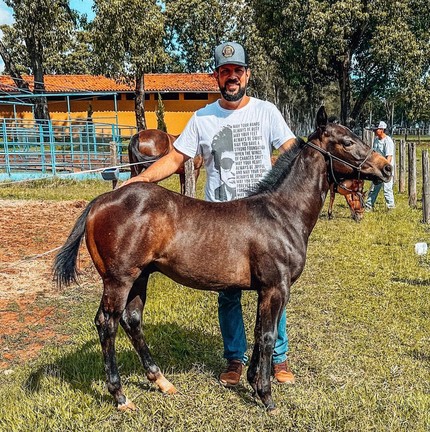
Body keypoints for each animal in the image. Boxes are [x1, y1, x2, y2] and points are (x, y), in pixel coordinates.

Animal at [52, 107, 392, 412]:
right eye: (346, 142)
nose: (386, 168)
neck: (281, 213)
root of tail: (102, 200)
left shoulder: (264, 290)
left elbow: (258, 332)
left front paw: (253, 381)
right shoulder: (276, 288)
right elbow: (268, 336)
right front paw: (266, 396)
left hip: (141, 276)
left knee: (131, 320)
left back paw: (160, 381)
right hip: (118, 280)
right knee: (106, 324)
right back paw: (120, 396)